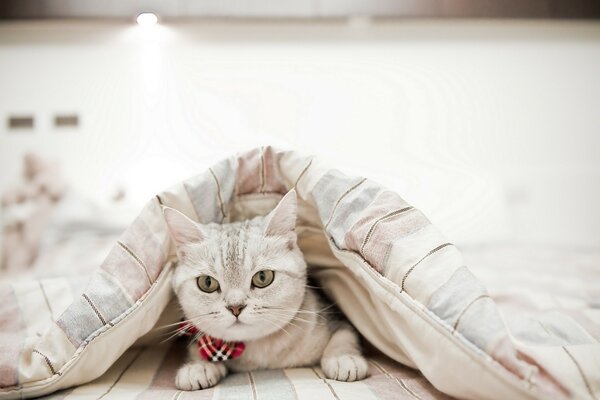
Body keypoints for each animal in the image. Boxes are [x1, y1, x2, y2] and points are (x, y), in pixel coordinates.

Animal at [164, 191, 368, 390]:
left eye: (262, 277)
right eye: (207, 283)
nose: (236, 307)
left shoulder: (334, 317)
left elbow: (344, 334)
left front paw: (343, 358)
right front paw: (198, 366)